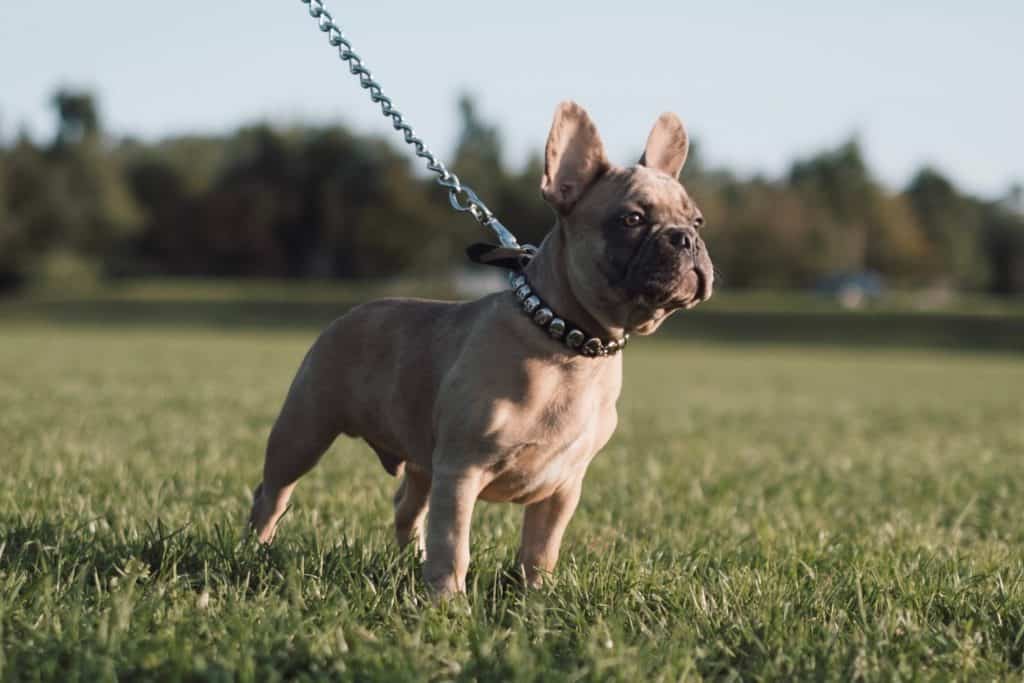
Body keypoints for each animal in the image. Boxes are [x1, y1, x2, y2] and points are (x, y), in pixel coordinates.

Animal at [249, 101, 712, 598]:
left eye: (697, 221)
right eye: (632, 220)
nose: (686, 238)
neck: (568, 342)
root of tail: (349, 314)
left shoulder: (563, 486)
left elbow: (540, 550)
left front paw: (536, 597)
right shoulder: (461, 470)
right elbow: (455, 546)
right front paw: (448, 602)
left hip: (421, 463)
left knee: (407, 507)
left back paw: (409, 559)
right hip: (304, 432)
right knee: (272, 494)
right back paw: (255, 551)